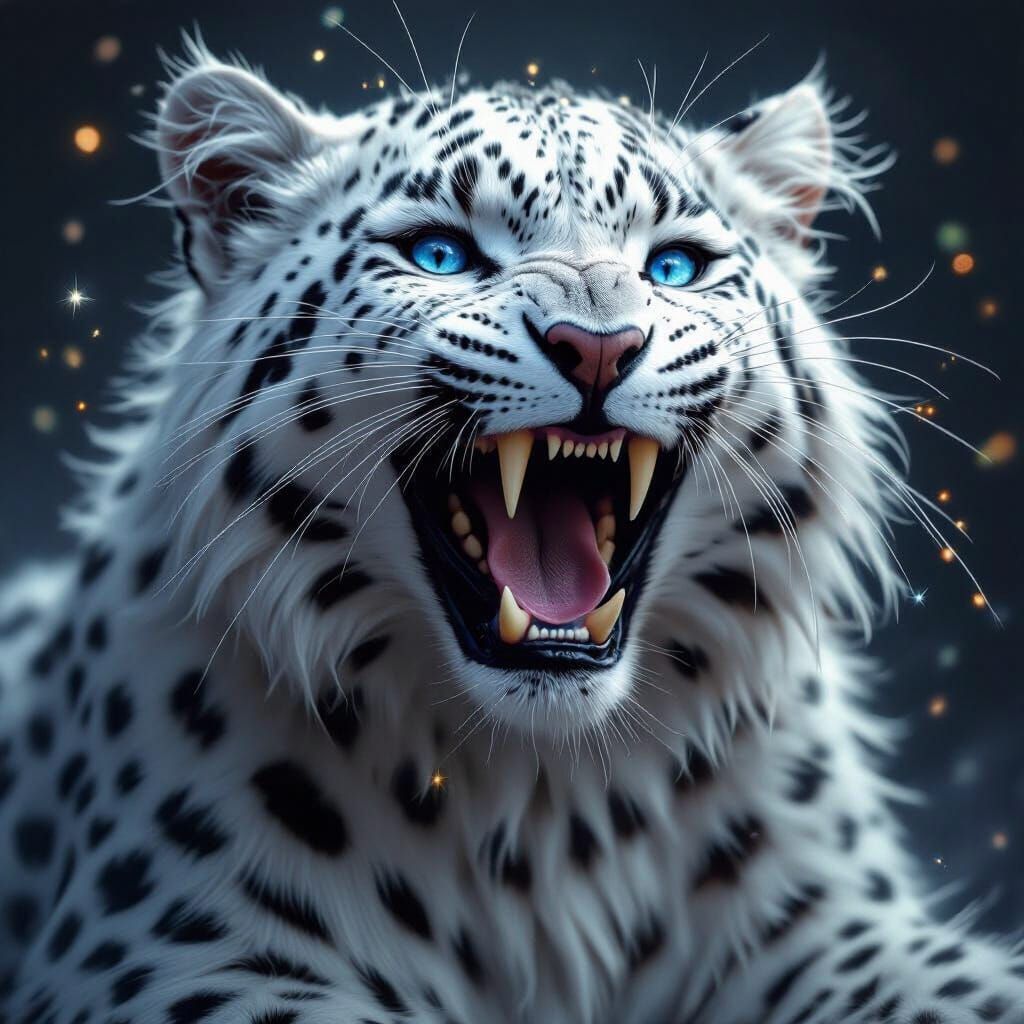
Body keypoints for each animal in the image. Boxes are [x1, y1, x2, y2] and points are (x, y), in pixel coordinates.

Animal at [0, 34, 1021, 1024]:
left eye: (673, 267)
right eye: (441, 253)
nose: (599, 346)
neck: (550, 804)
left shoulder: (840, 925)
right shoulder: (175, 952)